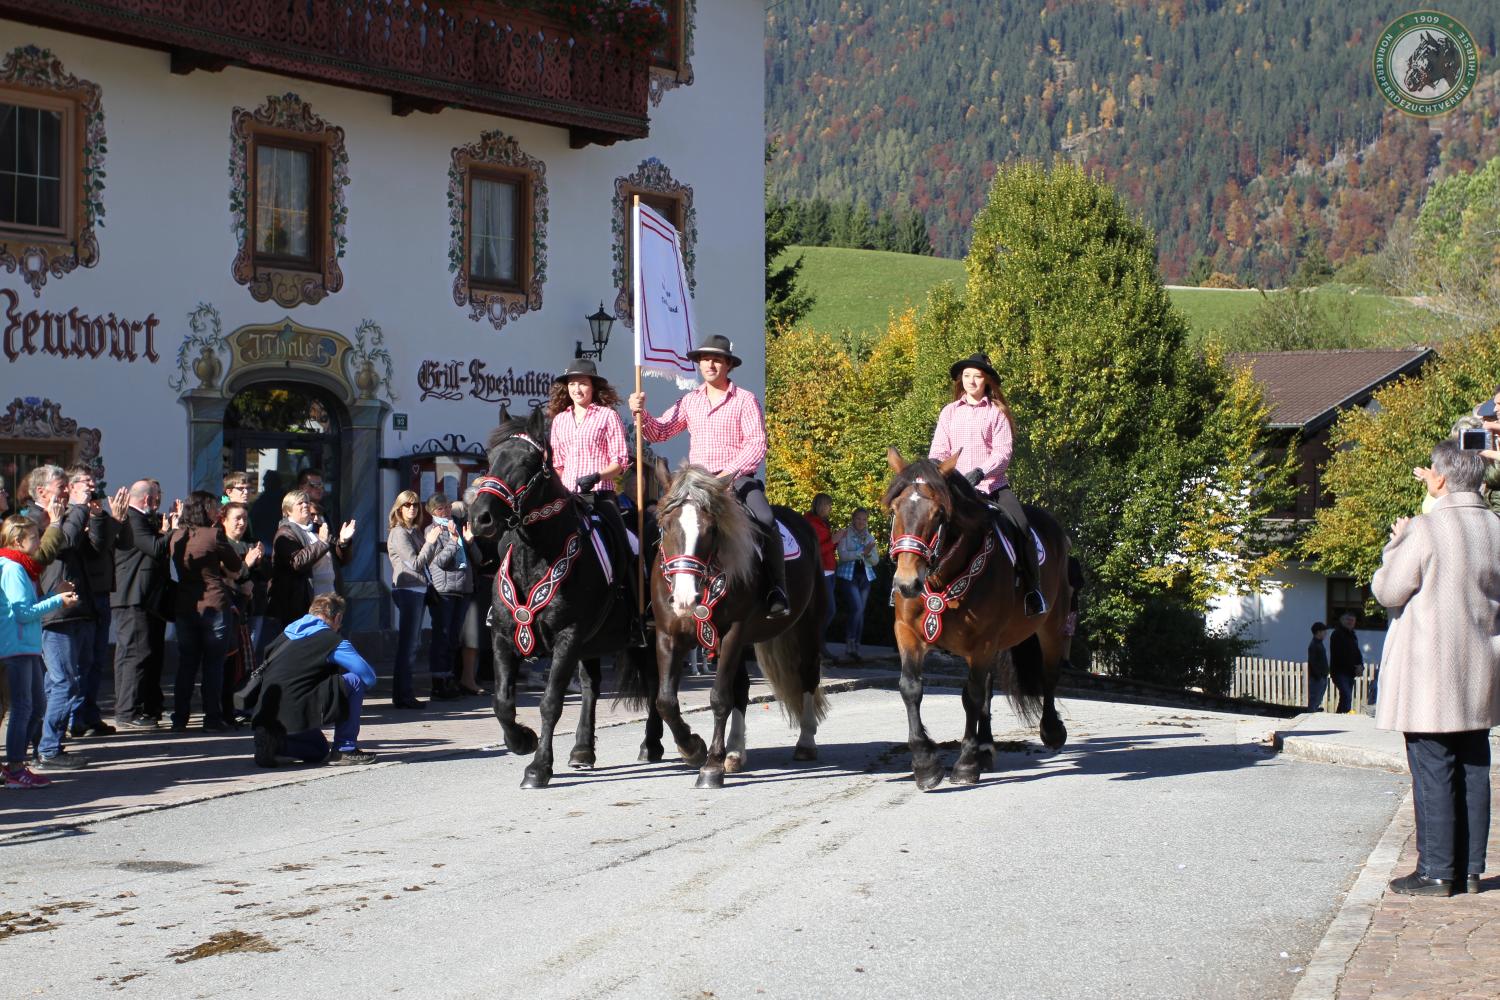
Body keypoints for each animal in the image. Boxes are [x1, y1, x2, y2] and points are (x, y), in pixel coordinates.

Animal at [467, 406, 651, 788]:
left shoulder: (568, 636)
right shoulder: (503, 637)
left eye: (527, 461)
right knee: (592, 687)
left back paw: (654, 745)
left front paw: (538, 767)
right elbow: (501, 702)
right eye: (490, 459)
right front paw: (521, 740)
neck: (535, 556)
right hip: (592, 644)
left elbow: (550, 703)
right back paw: (582, 750)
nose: (481, 518)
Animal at [624, 464, 826, 788]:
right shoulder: (668, 636)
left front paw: (710, 768)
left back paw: (805, 742)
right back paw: (734, 752)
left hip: (806, 625)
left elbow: (719, 698)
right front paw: (693, 748)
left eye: (711, 529)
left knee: (807, 675)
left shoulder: (733, 632)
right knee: (741, 687)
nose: (685, 598)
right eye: (665, 526)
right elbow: (665, 701)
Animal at [881, 449, 1073, 790]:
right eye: (894, 509)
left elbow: (971, 696)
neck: (942, 577)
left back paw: (1051, 731)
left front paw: (966, 764)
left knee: (1048, 675)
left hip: (1052, 625)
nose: (906, 584)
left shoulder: (981, 642)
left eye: (939, 514)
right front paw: (925, 765)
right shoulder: (907, 633)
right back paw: (985, 747)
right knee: (988, 687)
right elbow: (911, 688)